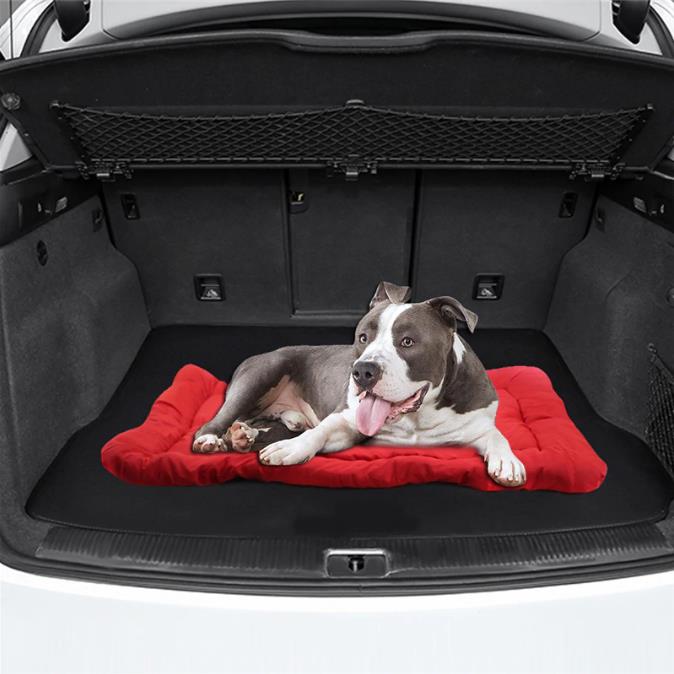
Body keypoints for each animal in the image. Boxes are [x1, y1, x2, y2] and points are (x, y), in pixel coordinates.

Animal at [192, 281, 526, 487]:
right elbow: (320, 431)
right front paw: (292, 449)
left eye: (408, 342)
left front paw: (508, 461)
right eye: (363, 337)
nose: (363, 371)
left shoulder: (476, 422)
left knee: (262, 424)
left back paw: (244, 436)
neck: (417, 418)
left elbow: (496, 435)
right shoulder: (346, 422)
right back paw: (214, 438)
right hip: (263, 372)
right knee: (220, 419)